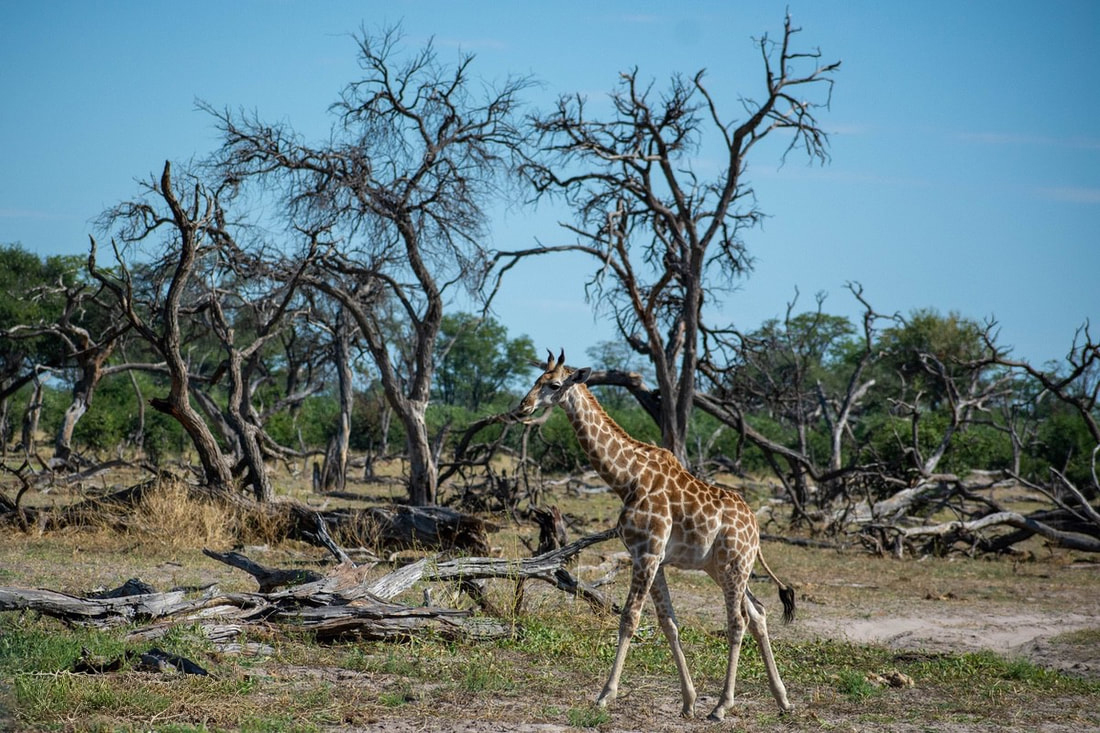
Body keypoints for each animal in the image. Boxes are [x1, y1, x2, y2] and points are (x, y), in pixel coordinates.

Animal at [516, 350, 794, 721]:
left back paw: (722, 706)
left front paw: (605, 695)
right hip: (722, 568)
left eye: (555, 384)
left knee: (738, 621)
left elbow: (629, 618)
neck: (625, 479)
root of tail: (756, 528)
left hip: (734, 565)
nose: (523, 406)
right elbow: (668, 622)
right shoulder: (653, 558)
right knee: (758, 614)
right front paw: (688, 701)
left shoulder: (646, 554)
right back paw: (782, 699)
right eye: (537, 380)